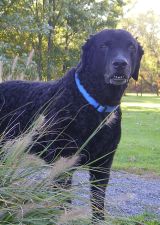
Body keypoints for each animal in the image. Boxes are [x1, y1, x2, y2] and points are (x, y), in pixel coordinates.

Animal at [0, 29, 143, 221]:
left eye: (131, 47)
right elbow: (63, 205)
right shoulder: (63, 164)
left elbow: (98, 203)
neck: (95, 106)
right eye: (104, 45)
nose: (120, 63)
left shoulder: (103, 165)